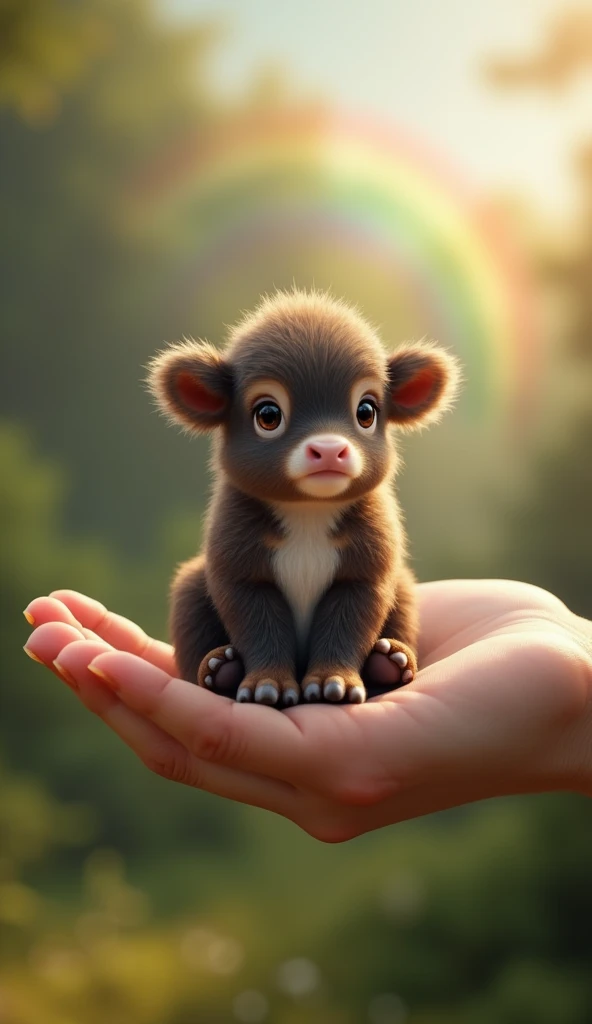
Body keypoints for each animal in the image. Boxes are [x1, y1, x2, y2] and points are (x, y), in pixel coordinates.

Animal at [145, 288, 458, 704]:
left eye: (366, 410)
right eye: (267, 414)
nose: (328, 449)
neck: (309, 513)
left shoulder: (367, 569)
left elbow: (347, 625)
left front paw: (332, 683)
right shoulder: (238, 566)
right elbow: (259, 626)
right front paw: (269, 685)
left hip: (404, 587)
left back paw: (389, 663)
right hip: (192, 587)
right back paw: (220, 669)